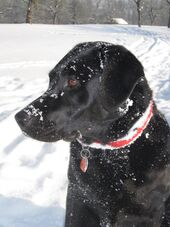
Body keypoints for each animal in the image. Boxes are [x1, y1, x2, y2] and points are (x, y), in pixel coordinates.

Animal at [15, 41, 169, 226]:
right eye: (51, 80)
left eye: (72, 81)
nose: (19, 118)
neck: (111, 153)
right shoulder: (78, 200)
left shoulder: (150, 212)